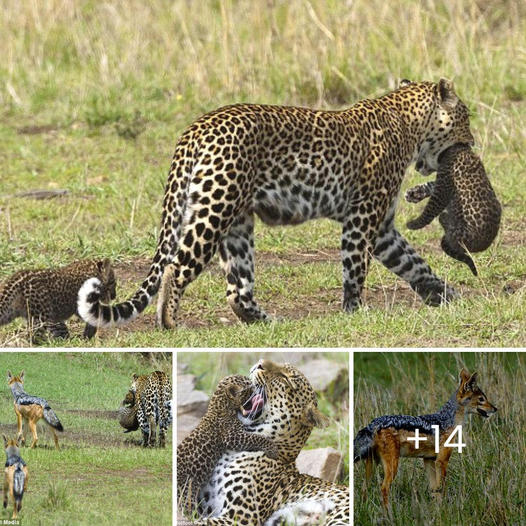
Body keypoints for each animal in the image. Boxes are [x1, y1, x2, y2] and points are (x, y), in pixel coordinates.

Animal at [80, 78, 476, 330]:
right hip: (214, 210)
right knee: (176, 268)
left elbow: (414, 263)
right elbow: (355, 269)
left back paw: (267, 323)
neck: (410, 126)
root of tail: (197, 127)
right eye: (466, 116)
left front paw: (445, 294)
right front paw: (354, 312)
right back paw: (169, 321)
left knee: (237, 290)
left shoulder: (381, 228)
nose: (473, 142)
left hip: (236, 222)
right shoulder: (362, 218)